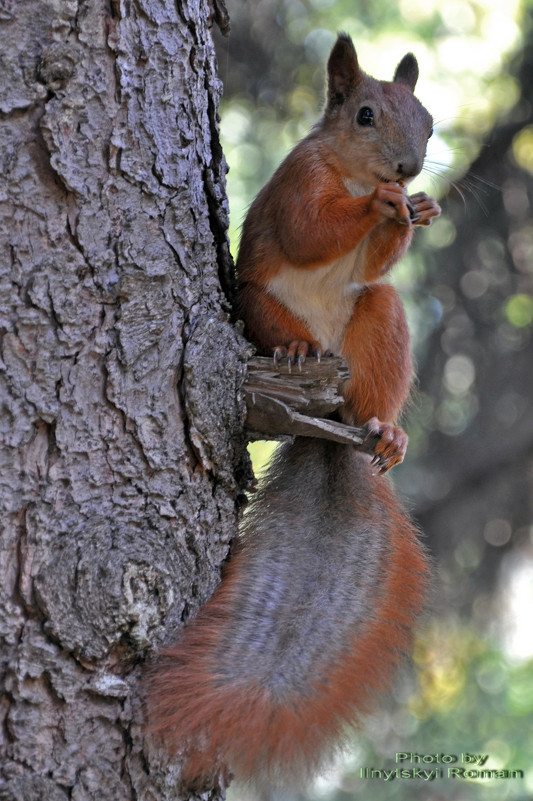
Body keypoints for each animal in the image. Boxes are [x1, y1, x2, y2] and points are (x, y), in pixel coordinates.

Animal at [144, 32, 440, 792]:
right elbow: (310, 231)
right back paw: (302, 349)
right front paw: (386, 205)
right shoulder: (298, 183)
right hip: (262, 308)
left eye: (427, 120)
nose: (407, 169)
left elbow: (380, 259)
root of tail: (331, 420)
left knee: (377, 325)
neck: (354, 174)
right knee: (288, 323)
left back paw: (384, 430)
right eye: (364, 115)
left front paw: (415, 210)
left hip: (377, 324)